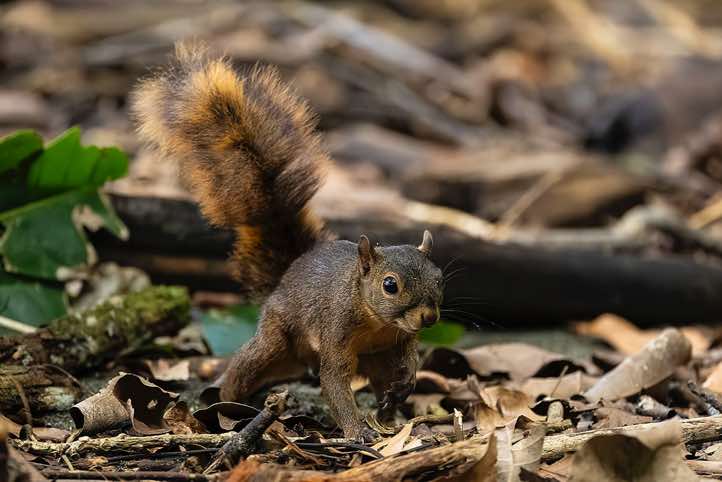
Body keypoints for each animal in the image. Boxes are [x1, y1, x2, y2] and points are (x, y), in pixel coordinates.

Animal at [131, 44, 444, 441]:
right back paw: (226, 405)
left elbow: (409, 362)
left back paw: (392, 413)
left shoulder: (400, 341)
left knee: (380, 381)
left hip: (372, 359)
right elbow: (334, 381)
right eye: (390, 286)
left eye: (440, 279)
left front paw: (405, 386)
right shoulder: (335, 329)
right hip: (277, 338)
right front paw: (357, 432)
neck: (378, 321)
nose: (429, 316)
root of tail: (286, 274)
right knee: (245, 365)